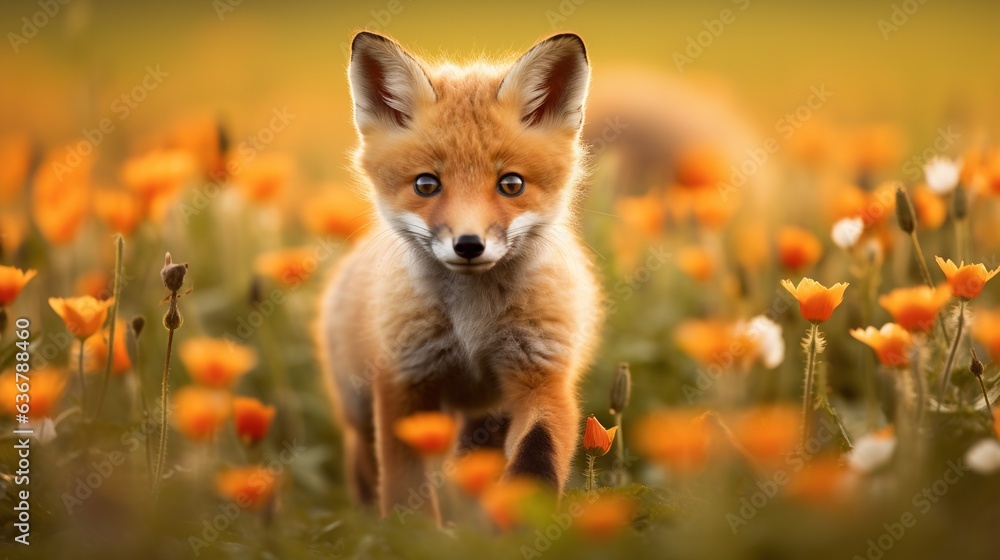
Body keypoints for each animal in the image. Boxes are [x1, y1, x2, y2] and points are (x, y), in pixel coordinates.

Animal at [317, 31, 602, 522]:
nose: (469, 245)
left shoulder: (543, 376)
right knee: (362, 462)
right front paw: (414, 534)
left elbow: (538, 454)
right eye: (426, 184)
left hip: (482, 422)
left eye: (511, 184)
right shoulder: (403, 381)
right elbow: (405, 487)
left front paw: (520, 522)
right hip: (358, 406)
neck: (472, 323)